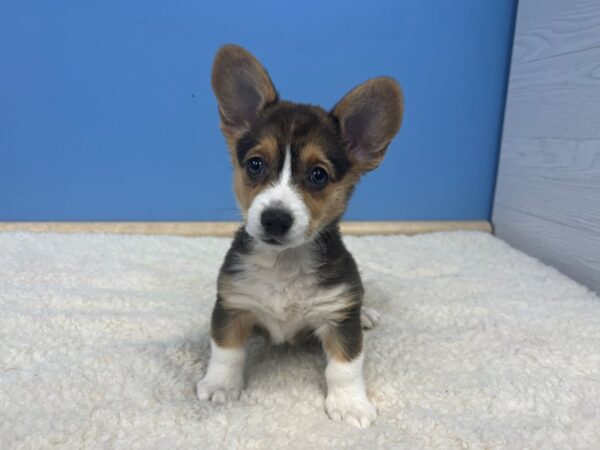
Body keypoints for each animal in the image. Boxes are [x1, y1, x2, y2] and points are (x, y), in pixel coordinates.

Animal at [198, 45, 404, 428]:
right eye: (255, 165)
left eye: (319, 175)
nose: (275, 219)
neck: (284, 265)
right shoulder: (232, 305)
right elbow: (226, 350)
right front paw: (220, 385)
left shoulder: (338, 317)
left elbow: (345, 366)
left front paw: (350, 404)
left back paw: (366, 313)